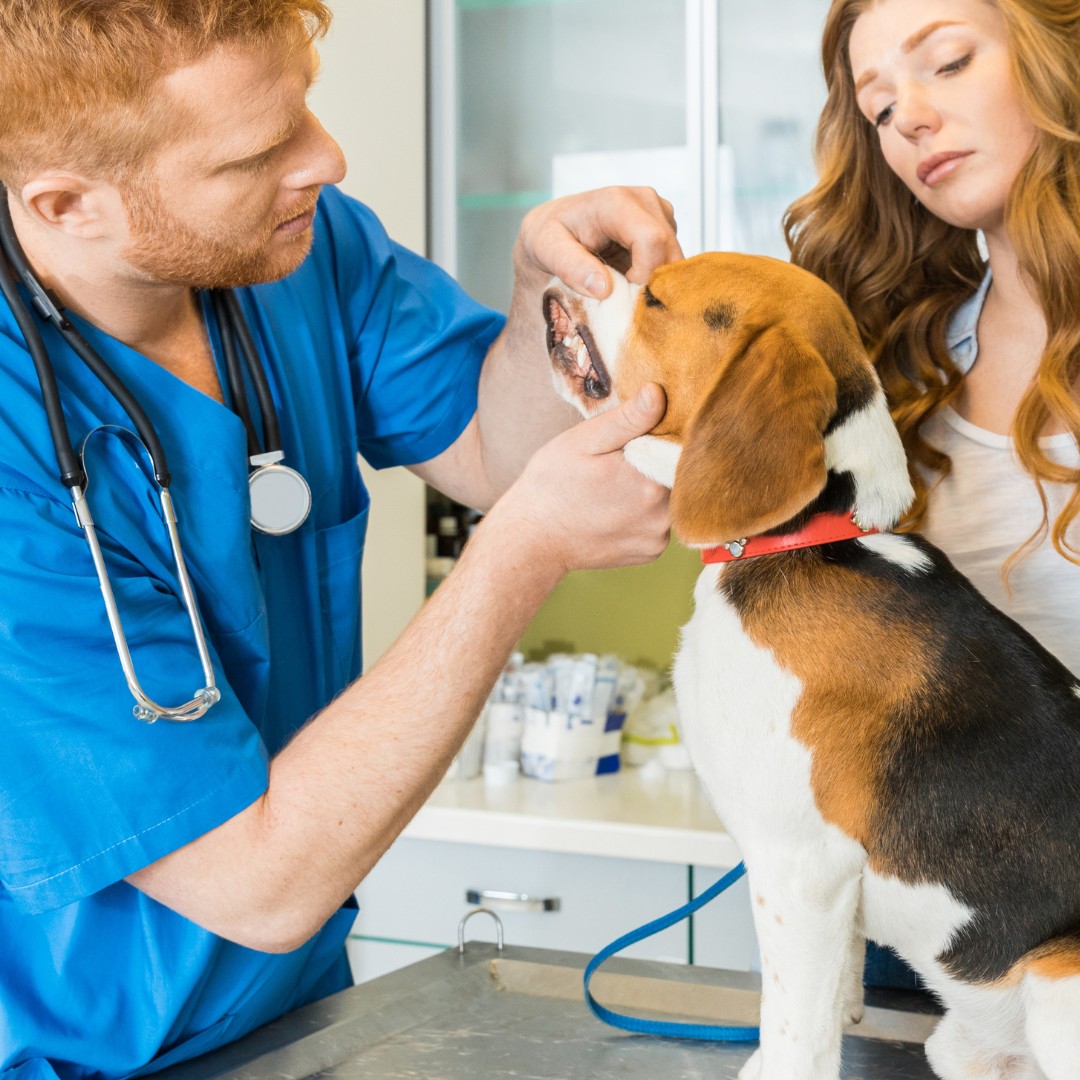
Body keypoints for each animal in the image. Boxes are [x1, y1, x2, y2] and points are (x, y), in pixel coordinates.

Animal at [544, 252, 1080, 1080]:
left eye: (656, 294)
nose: (572, 274)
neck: (809, 538)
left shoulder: (798, 870)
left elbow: (796, 1026)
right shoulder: (829, 895)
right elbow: (826, 998)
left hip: (1059, 979)